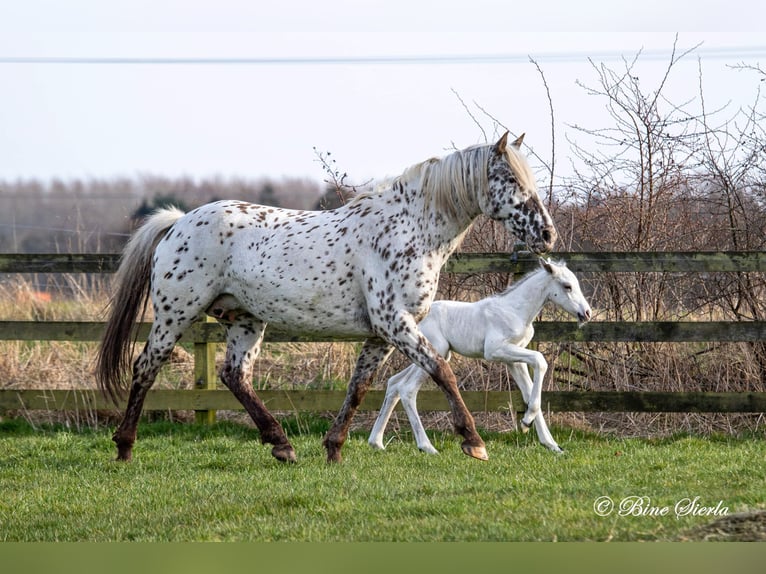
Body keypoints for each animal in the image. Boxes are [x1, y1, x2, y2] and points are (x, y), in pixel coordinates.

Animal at [95, 132, 557, 464]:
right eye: (512, 179)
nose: (548, 234)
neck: (410, 230)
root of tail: (178, 223)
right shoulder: (395, 322)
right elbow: (442, 371)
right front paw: (473, 441)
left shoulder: (380, 334)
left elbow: (360, 386)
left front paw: (334, 448)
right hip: (175, 315)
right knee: (145, 368)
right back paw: (125, 447)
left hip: (245, 320)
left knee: (235, 376)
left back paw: (282, 445)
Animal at [368, 259, 591, 455]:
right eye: (567, 286)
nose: (587, 313)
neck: (515, 311)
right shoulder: (495, 351)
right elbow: (540, 360)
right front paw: (527, 422)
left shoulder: (514, 361)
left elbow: (528, 393)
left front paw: (549, 443)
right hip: (435, 354)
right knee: (407, 389)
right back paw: (427, 447)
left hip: (435, 357)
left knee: (394, 383)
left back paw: (377, 442)